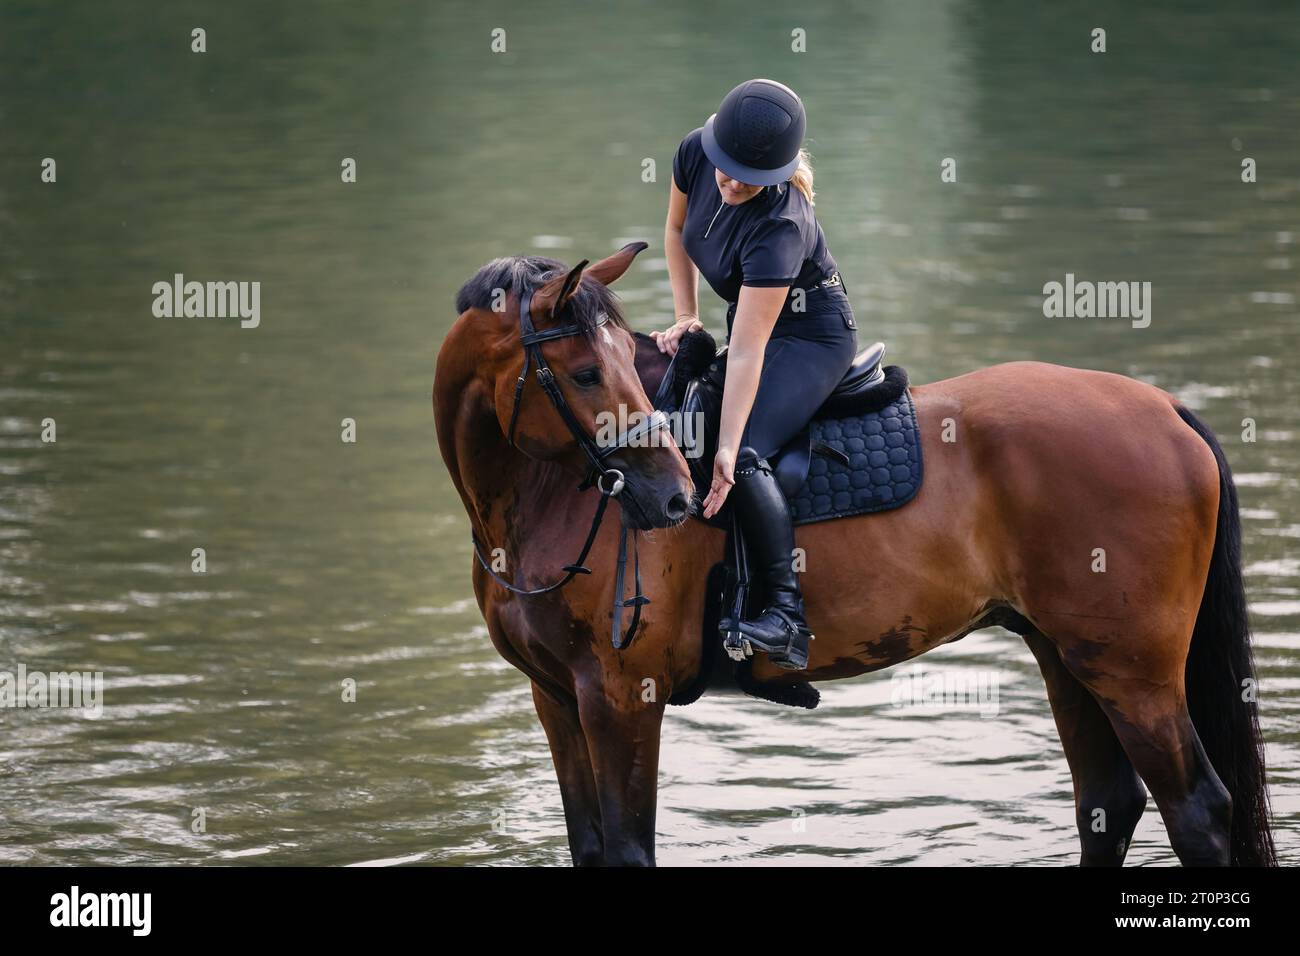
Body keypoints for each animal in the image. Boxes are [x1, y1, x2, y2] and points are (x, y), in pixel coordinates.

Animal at [433, 241, 1275, 867]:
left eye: (608, 369)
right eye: (582, 373)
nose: (673, 498)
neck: (543, 498)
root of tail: (1165, 408)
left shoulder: (620, 697)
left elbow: (627, 852)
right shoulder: (556, 696)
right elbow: (587, 846)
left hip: (1133, 672)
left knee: (1196, 810)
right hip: (1067, 654)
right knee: (1107, 803)